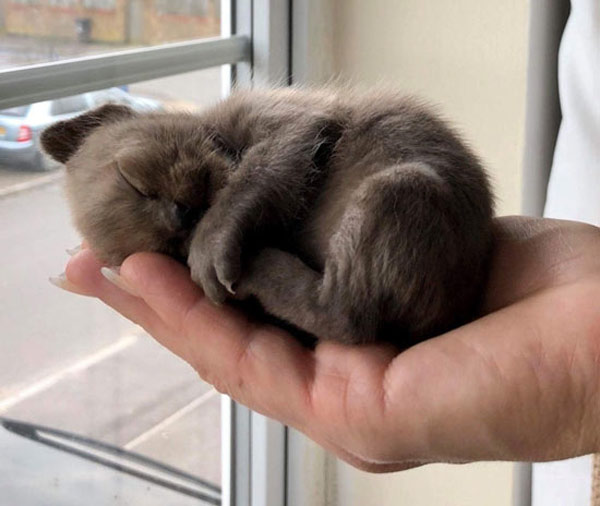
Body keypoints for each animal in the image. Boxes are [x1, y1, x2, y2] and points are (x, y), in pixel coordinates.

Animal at [41, 88, 492, 348]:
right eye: (168, 247)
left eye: (133, 180)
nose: (181, 217)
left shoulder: (293, 125)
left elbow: (254, 177)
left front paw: (212, 240)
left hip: (396, 188)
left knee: (347, 316)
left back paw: (264, 266)